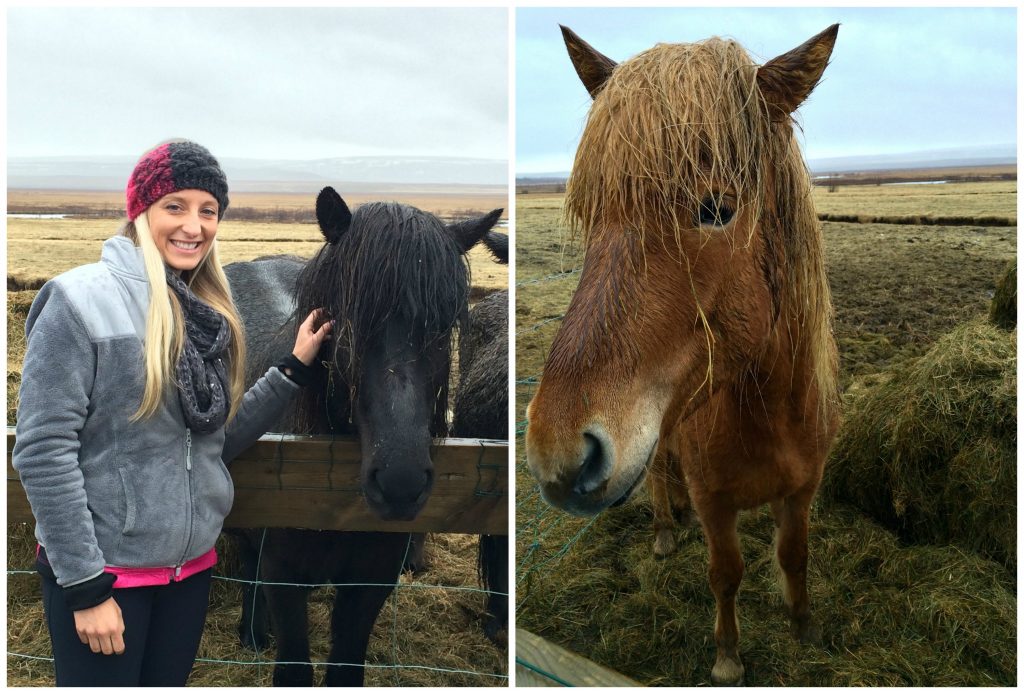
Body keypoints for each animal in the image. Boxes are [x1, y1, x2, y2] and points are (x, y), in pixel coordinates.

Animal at [528, 24, 839, 687]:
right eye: (591, 216)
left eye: (717, 208)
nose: (556, 452)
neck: (769, 415)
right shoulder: (715, 500)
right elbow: (726, 573)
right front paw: (727, 658)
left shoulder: (802, 490)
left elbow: (794, 557)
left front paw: (804, 627)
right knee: (658, 477)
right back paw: (668, 532)